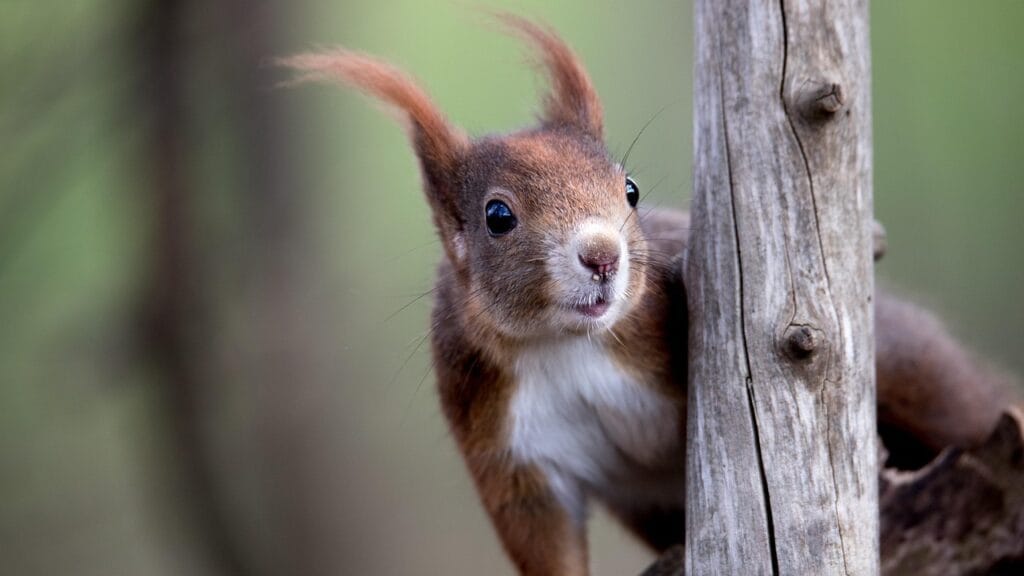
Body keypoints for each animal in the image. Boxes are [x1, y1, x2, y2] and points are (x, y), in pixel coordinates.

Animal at [283, 14, 1013, 576]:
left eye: (629, 189)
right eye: (498, 216)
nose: (603, 254)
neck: (562, 345)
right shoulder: (507, 450)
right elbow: (544, 544)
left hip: (913, 369)